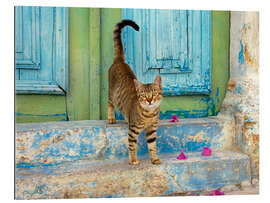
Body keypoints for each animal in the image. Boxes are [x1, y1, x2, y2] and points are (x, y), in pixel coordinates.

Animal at [107, 19, 162, 165]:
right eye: (143, 96)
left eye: (154, 94)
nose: (149, 100)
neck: (149, 115)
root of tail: (120, 61)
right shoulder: (133, 130)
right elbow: (132, 145)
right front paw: (133, 160)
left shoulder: (152, 129)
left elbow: (152, 145)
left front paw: (154, 158)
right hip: (111, 93)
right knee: (109, 103)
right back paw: (111, 118)